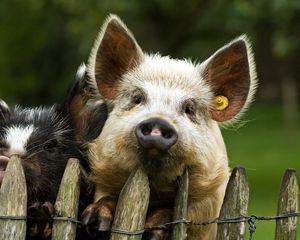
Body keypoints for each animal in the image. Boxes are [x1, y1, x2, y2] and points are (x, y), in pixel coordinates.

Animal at [80, 15, 258, 240]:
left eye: (189, 108)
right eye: (137, 98)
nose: (158, 122)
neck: (154, 193)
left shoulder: (209, 202)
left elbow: (182, 214)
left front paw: (153, 229)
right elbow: (107, 198)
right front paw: (94, 221)